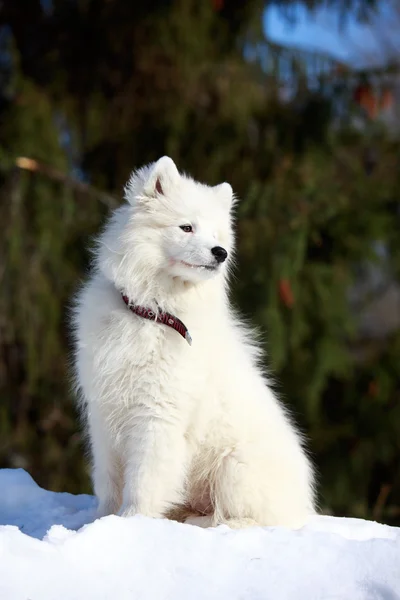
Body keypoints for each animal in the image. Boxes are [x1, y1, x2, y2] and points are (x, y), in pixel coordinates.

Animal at [72, 157, 316, 528]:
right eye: (186, 228)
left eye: (216, 235)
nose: (221, 252)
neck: (154, 313)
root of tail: (305, 504)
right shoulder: (104, 414)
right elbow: (109, 481)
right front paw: (98, 523)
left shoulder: (158, 418)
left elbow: (143, 482)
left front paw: (130, 523)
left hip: (234, 469)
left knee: (255, 518)